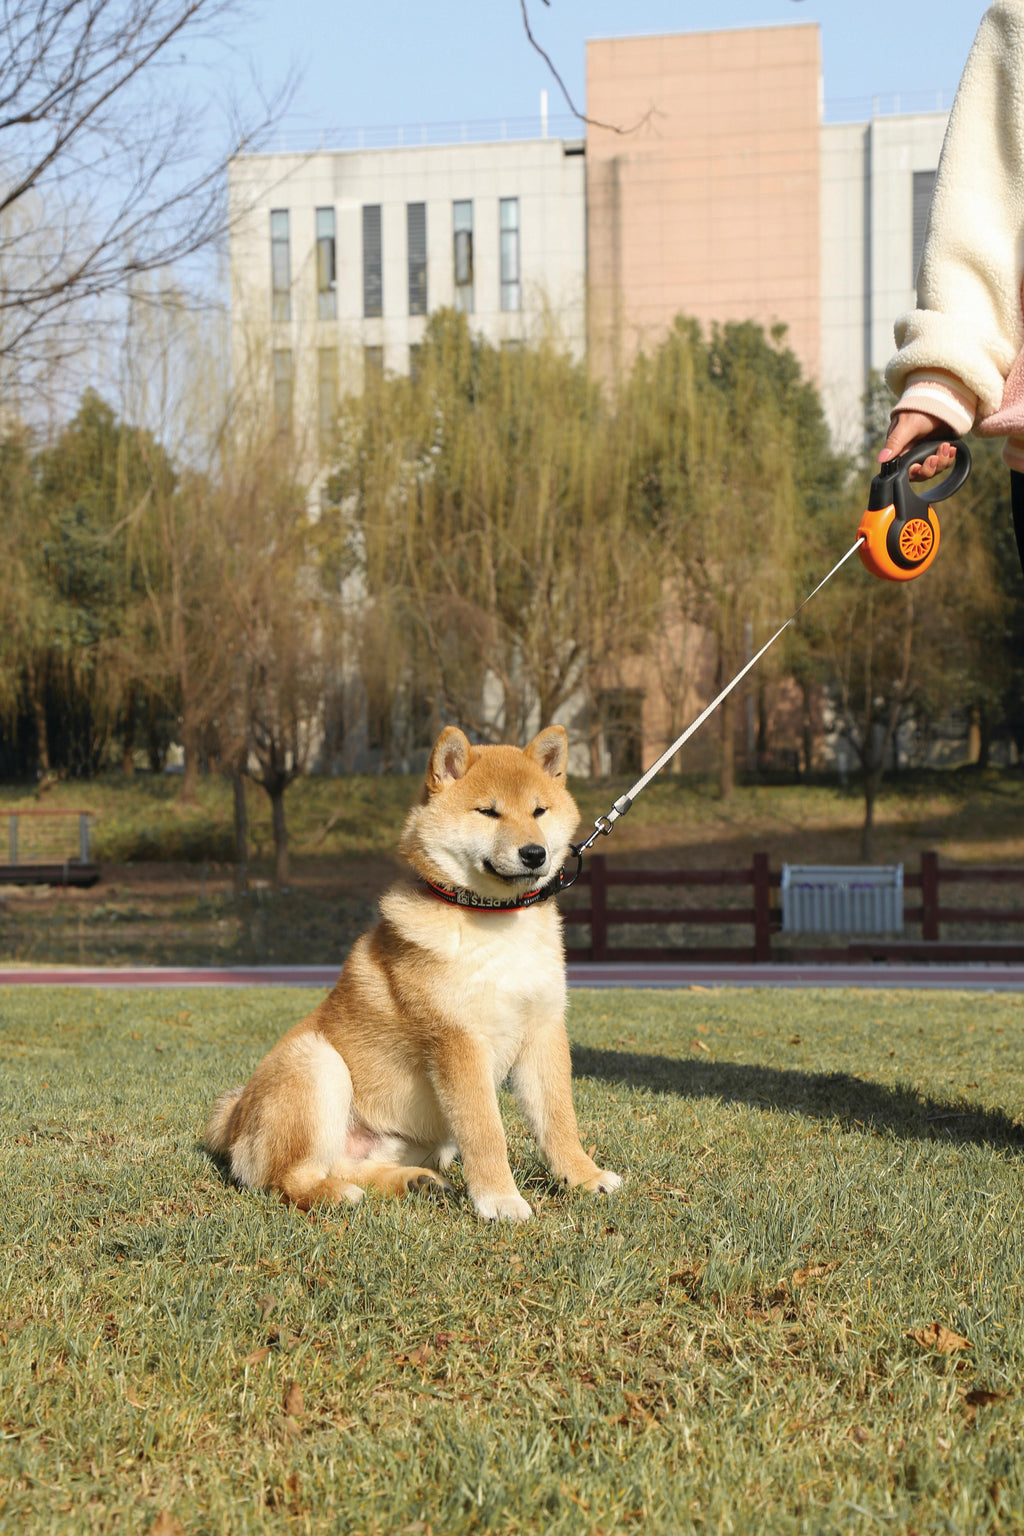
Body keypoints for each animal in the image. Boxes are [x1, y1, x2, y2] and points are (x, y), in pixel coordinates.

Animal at [207, 721, 620, 1222]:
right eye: (488, 812)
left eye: (539, 811)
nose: (534, 853)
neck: (495, 920)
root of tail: (233, 1120)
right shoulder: (458, 1042)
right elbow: (487, 1131)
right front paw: (500, 1200)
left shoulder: (543, 1028)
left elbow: (559, 1120)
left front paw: (583, 1177)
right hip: (318, 1064)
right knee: (289, 1177)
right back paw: (335, 1196)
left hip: (417, 1142)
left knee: (352, 1167)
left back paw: (413, 1183)